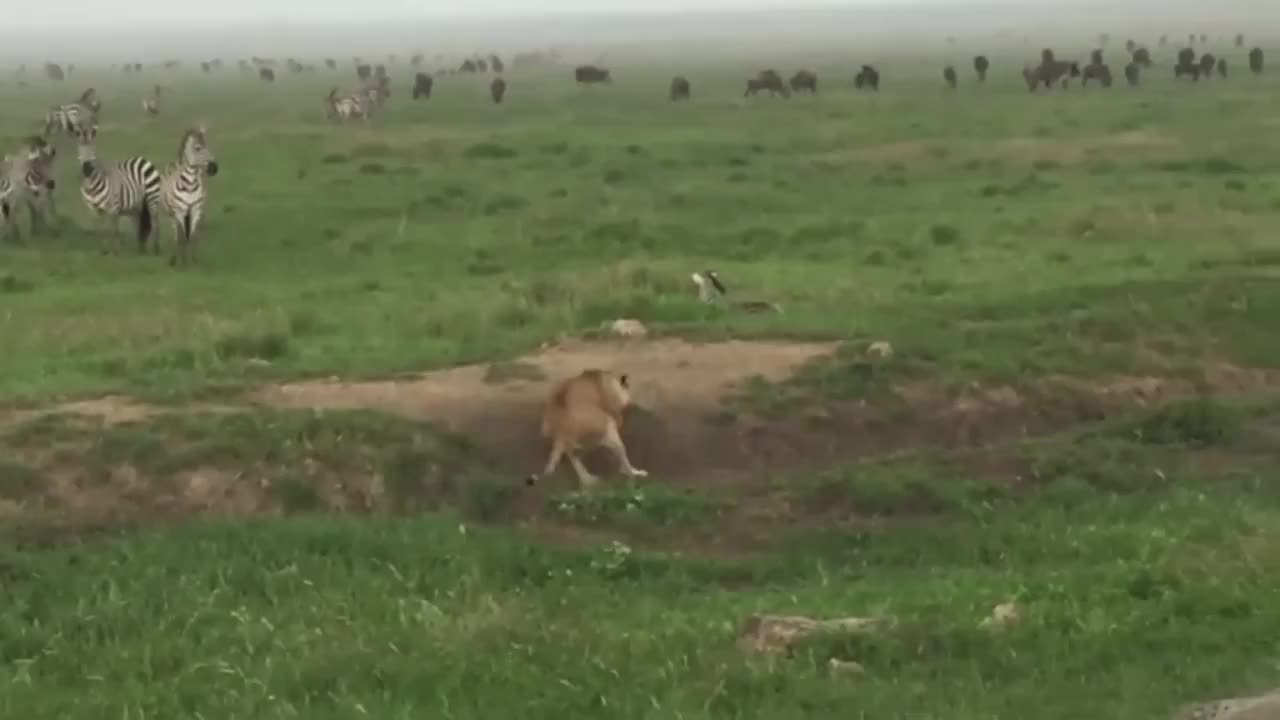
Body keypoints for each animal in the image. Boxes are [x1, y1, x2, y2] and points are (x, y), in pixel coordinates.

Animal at [74, 122, 162, 254]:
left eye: (93, 149)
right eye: (80, 148)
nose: (87, 170)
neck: (92, 186)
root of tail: (142, 159)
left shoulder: (113, 207)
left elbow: (114, 230)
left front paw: (116, 251)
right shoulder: (93, 209)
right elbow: (101, 230)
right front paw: (103, 250)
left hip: (152, 197)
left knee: (155, 221)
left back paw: (155, 249)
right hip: (136, 205)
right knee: (137, 221)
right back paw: (140, 248)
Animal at [160, 126, 220, 266]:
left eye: (207, 145)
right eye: (198, 148)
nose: (214, 168)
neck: (190, 185)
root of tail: (176, 162)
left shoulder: (196, 211)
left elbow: (192, 237)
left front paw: (194, 261)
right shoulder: (180, 211)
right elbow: (181, 238)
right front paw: (182, 263)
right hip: (173, 214)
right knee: (177, 235)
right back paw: (174, 259)